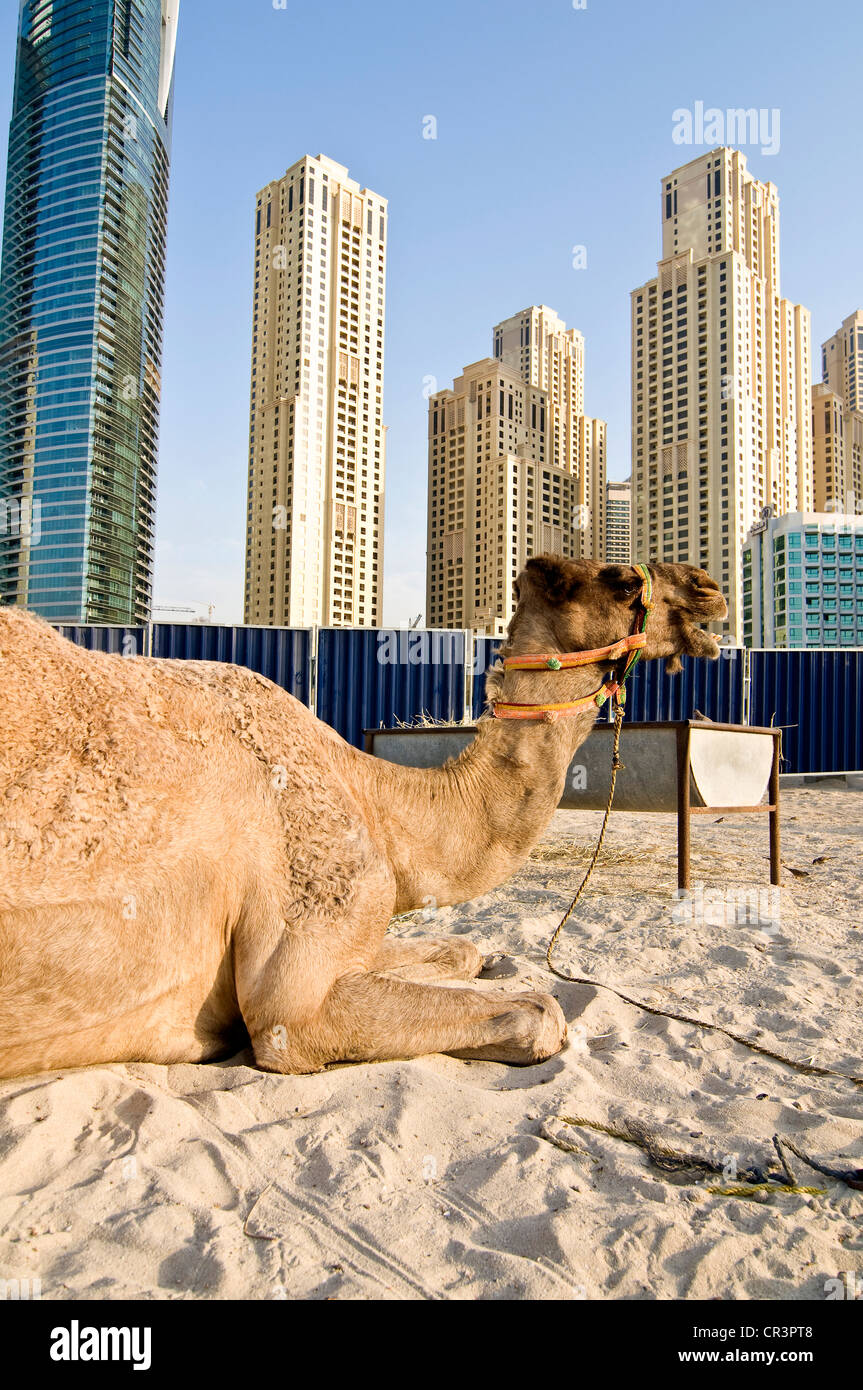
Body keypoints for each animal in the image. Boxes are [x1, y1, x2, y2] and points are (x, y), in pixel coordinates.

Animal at [0, 553, 728, 1073]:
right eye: (618, 581)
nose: (708, 587)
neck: (376, 802)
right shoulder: (293, 1001)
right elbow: (539, 1011)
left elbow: (463, 948)